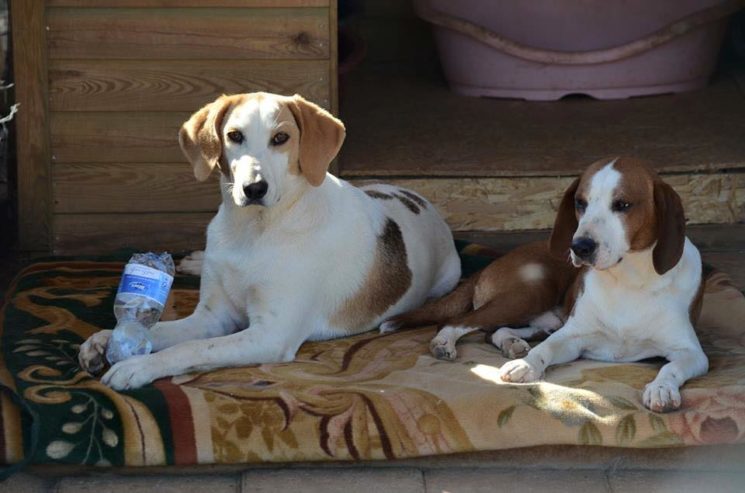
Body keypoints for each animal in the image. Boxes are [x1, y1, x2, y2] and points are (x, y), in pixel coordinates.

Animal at [77, 92, 460, 388]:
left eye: (281, 138)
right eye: (234, 135)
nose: (254, 188)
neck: (252, 231)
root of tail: (420, 199)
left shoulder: (270, 334)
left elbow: (191, 349)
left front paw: (137, 366)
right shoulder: (212, 317)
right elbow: (159, 332)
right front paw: (107, 338)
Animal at [384, 158, 708, 412]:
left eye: (623, 205)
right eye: (580, 203)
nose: (580, 247)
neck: (627, 279)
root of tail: (492, 263)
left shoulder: (692, 352)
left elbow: (670, 367)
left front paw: (662, 388)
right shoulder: (572, 336)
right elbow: (546, 349)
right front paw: (527, 365)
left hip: (543, 314)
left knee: (494, 331)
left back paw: (511, 343)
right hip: (532, 290)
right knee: (458, 321)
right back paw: (446, 343)